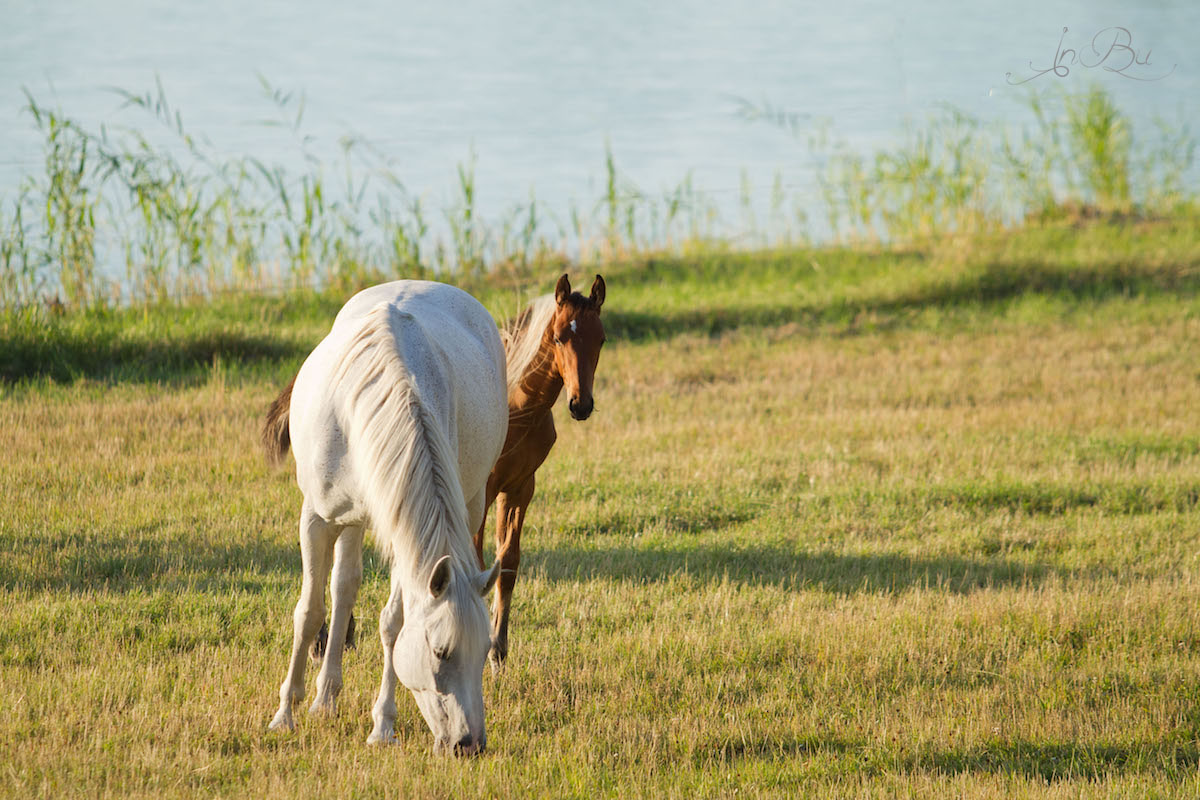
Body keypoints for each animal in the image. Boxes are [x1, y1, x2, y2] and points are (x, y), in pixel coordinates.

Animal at [262, 281, 506, 758]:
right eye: (441, 652)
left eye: (485, 649)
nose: (470, 744)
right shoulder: (315, 518)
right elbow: (310, 610)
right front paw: (284, 715)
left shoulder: (405, 535)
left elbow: (394, 622)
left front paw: (383, 725)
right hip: (348, 519)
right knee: (341, 590)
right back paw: (322, 700)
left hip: (468, 503)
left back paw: (329, 697)